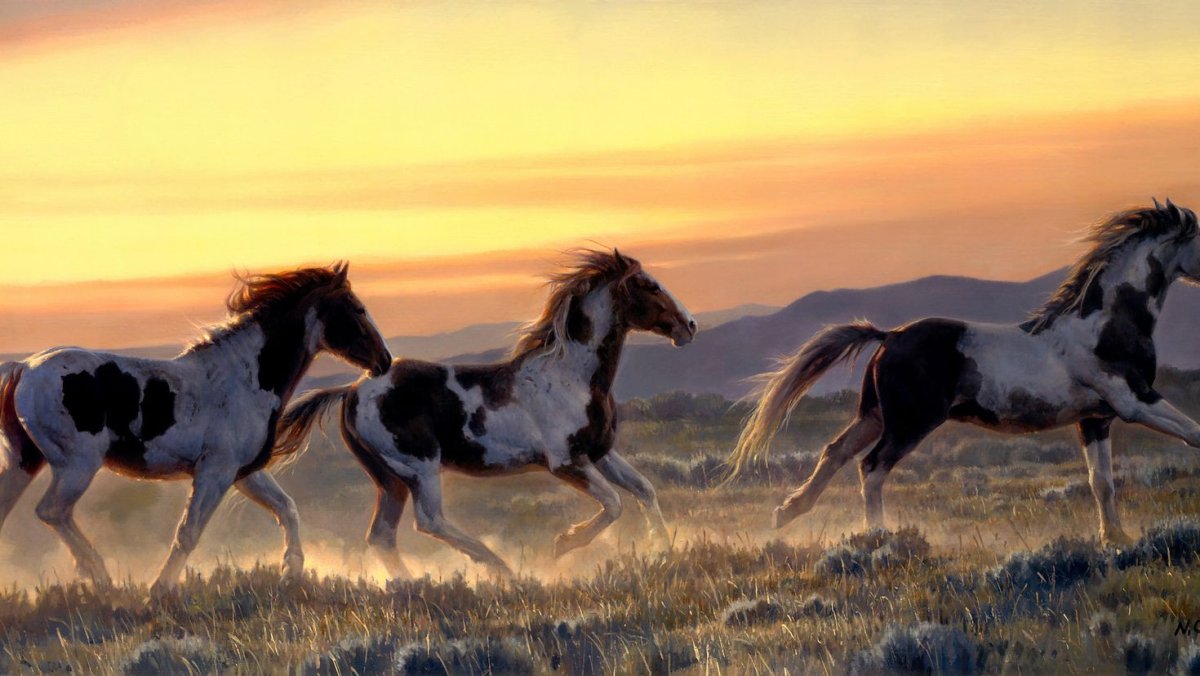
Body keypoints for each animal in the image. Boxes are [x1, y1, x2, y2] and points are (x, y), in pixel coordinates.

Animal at [0, 263, 392, 592]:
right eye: (357, 308)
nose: (384, 360)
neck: (245, 378)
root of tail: (24, 367)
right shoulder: (214, 472)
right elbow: (189, 532)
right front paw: (158, 591)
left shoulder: (243, 473)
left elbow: (287, 508)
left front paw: (291, 570)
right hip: (76, 466)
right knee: (52, 511)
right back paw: (103, 579)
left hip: (24, 464)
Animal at [275, 249, 696, 577]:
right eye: (649, 284)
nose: (689, 326)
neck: (570, 377)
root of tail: (351, 391)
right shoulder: (565, 463)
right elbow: (613, 503)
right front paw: (564, 543)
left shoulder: (600, 453)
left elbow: (644, 490)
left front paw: (663, 551)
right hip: (419, 467)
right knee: (429, 521)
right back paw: (500, 567)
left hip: (389, 479)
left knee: (382, 536)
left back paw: (415, 584)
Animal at [729, 200, 1200, 545]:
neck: (1105, 324)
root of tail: (889, 336)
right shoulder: (1134, 401)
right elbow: (1193, 433)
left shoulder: (1096, 419)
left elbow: (1101, 482)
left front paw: (1114, 538)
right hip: (911, 423)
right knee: (871, 468)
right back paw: (877, 538)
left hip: (876, 415)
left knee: (835, 452)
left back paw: (787, 513)